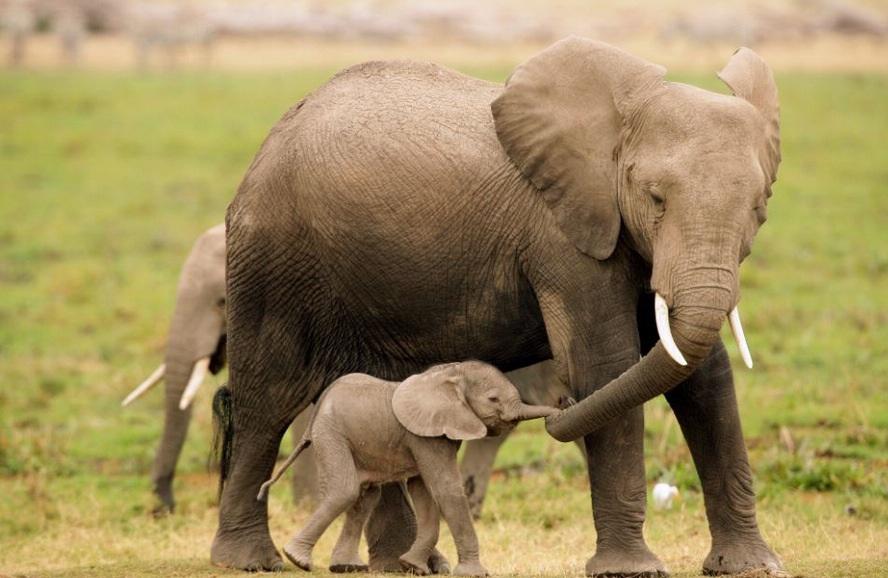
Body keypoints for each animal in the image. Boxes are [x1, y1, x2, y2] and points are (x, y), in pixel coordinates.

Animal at [260, 360, 560, 572]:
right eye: (493, 399)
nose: (561, 406)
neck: (450, 373)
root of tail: (322, 400)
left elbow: (423, 491)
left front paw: (412, 565)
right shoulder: (425, 436)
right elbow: (445, 489)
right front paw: (474, 573)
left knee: (365, 497)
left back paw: (346, 566)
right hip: (332, 432)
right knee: (344, 490)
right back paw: (297, 559)